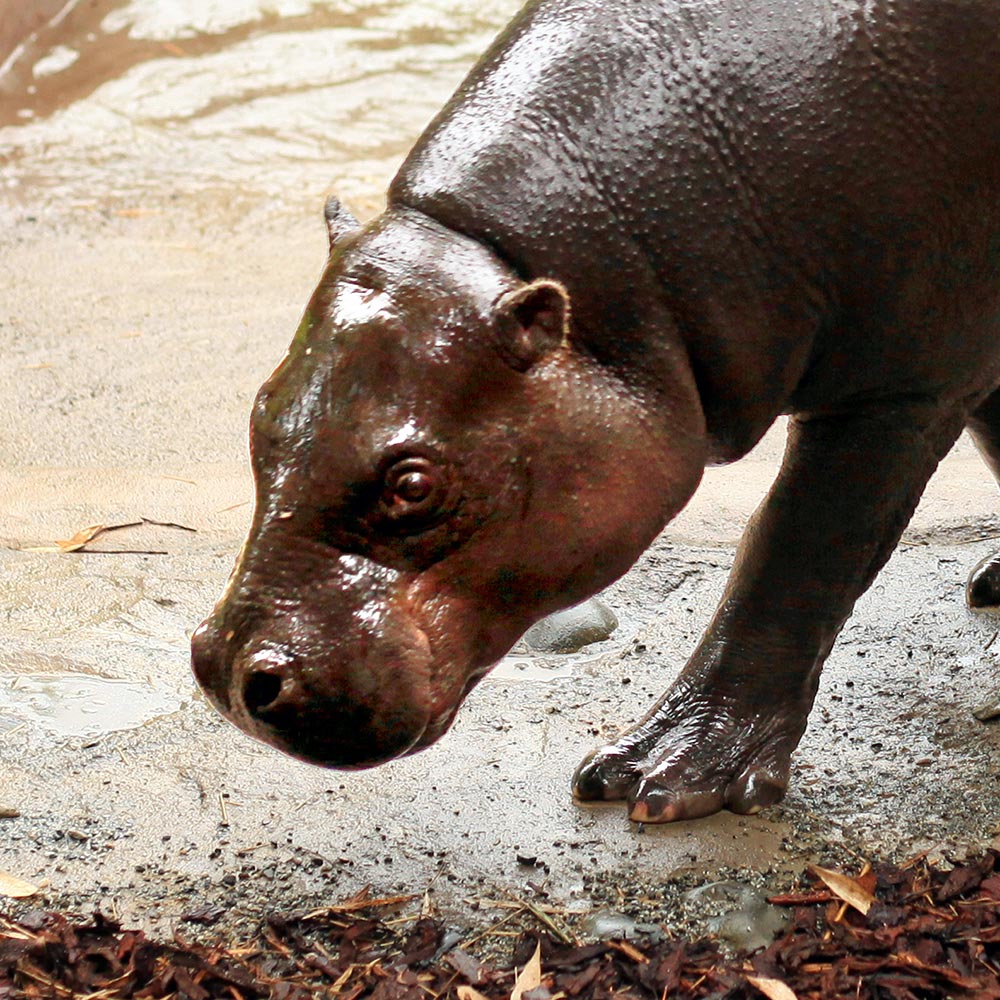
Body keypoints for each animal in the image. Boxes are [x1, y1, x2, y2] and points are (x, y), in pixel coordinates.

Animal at [191, 0, 1000, 824]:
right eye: (260, 411)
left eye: (413, 484)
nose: (226, 671)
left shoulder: (904, 386)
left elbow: (795, 555)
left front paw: (656, 775)